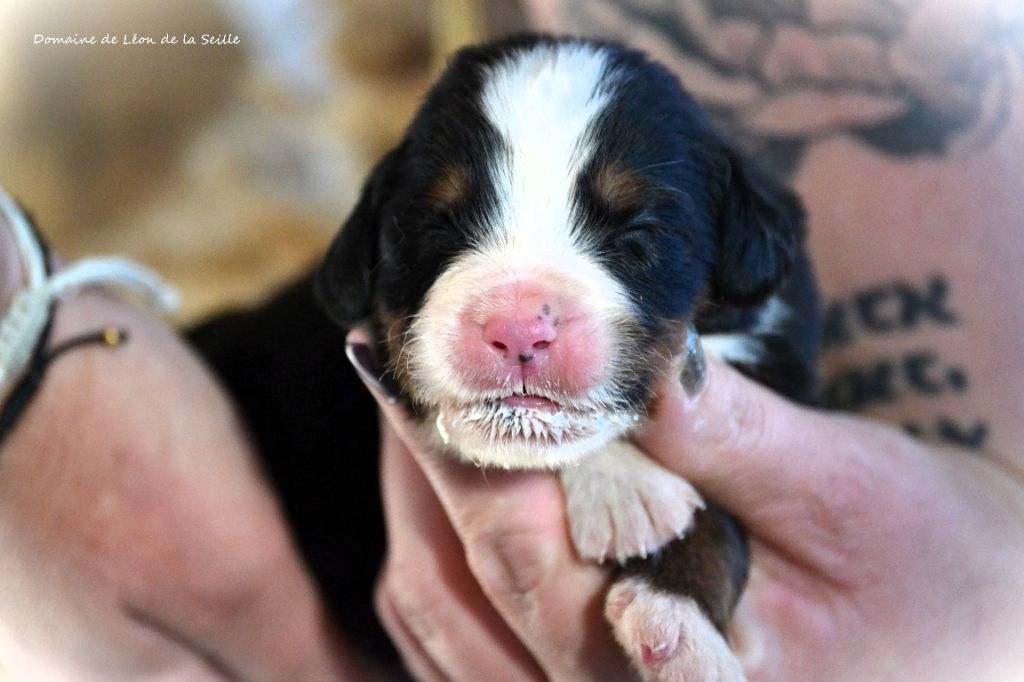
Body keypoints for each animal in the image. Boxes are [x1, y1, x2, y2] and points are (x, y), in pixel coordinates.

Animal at [193, 33, 815, 679]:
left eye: (637, 230)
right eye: (436, 225)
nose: (517, 331)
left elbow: (724, 517)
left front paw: (680, 626)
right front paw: (628, 490)